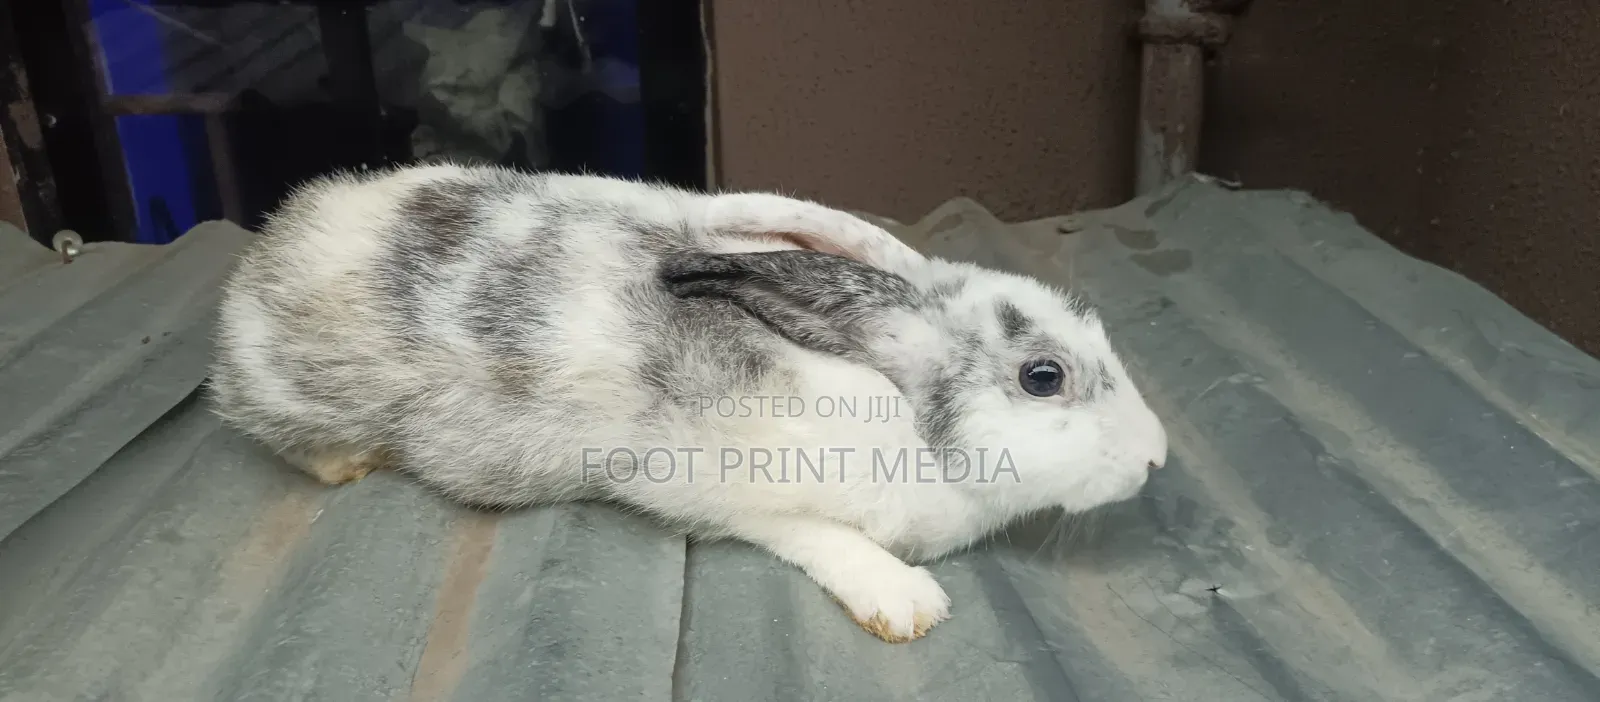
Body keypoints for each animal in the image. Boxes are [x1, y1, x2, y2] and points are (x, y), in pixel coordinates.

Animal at [207, 162, 1168, 643]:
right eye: (1043, 376)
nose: (1158, 456)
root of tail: (281, 238)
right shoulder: (719, 488)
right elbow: (816, 536)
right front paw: (905, 604)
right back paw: (347, 462)